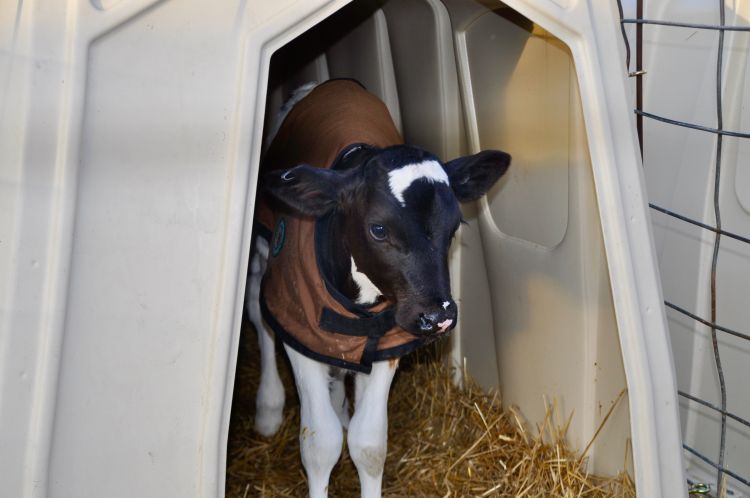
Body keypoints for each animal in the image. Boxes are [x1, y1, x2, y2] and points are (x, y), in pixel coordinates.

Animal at [246, 79, 510, 498]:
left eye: (454, 227)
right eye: (379, 229)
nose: (438, 316)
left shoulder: (388, 341)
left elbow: (368, 443)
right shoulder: (299, 326)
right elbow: (320, 444)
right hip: (264, 246)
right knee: (259, 309)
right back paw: (269, 408)